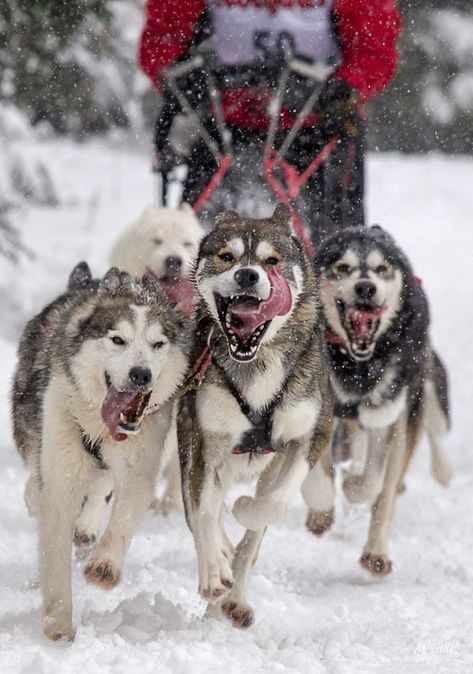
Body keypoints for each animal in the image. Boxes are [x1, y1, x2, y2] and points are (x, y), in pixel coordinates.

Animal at [11, 266, 189, 636]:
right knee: (40, 486)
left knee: (100, 488)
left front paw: (105, 564)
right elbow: (54, 549)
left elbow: (122, 516)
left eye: (158, 344)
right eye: (117, 340)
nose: (141, 374)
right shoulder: (60, 475)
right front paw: (58, 626)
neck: (99, 426)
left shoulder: (140, 465)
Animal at [177, 203, 332, 624]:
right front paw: (213, 568)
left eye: (272, 261)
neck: (256, 360)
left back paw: (235, 598)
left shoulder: (309, 436)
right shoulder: (205, 442)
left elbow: (273, 505)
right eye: (226, 256)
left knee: (252, 540)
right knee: (202, 510)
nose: (247, 274)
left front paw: (245, 510)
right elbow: (203, 512)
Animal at [300, 224, 452, 572]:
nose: (366, 288)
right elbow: (318, 475)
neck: (356, 364)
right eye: (342, 267)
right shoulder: (316, 408)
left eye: (382, 269)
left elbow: (373, 483)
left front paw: (353, 488)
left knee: (427, 442)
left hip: (423, 391)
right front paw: (321, 509)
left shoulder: (387, 415)